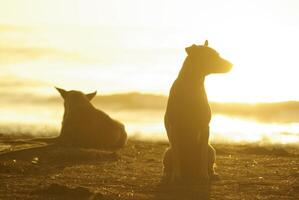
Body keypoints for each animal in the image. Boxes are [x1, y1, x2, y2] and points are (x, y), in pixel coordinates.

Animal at [163, 39, 233, 184]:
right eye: (213, 56)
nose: (232, 65)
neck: (192, 85)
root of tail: (190, 170)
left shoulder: (205, 126)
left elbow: (203, 156)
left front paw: (204, 175)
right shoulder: (175, 126)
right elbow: (177, 156)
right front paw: (176, 176)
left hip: (211, 149)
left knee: (208, 159)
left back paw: (212, 174)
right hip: (167, 152)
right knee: (169, 161)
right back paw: (168, 174)